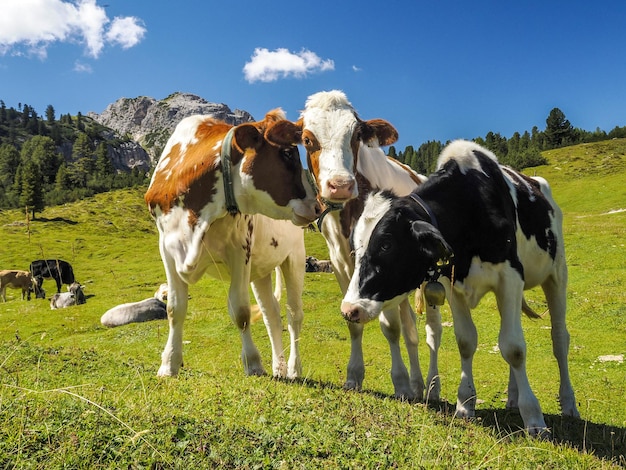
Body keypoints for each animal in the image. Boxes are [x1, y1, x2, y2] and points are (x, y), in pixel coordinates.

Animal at [146, 109, 320, 378]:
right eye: (287, 153)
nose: (318, 206)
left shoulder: (240, 250)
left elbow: (241, 311)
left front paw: (253, 362)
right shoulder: (167, 247)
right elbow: (175, 308)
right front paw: (169, 364)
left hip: (295, 257)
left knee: (294, 315)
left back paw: (293, 368)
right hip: (261, 270)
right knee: (272, 314)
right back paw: (278, 366)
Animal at [296, 89, 438, 400]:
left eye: (356, 135)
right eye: (307, 139)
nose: (340, 185)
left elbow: (390, 327)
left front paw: (400, 383)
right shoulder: (339, 263)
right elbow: (353, 322)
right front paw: (354, 377)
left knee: (425, 330)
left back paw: (427, 386)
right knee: (411, 328)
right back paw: (417, 384)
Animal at [338, 140, 576, 436]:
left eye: (386, 244)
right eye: (354, 248)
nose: (350, 309)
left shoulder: (510, 276)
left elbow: (514, 347)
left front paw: (533, 417)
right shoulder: (453, 286)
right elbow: (466, 341)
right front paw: (465, 404)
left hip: (557, 273)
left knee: (559, 338)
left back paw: (569, 404)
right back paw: (512, 397)